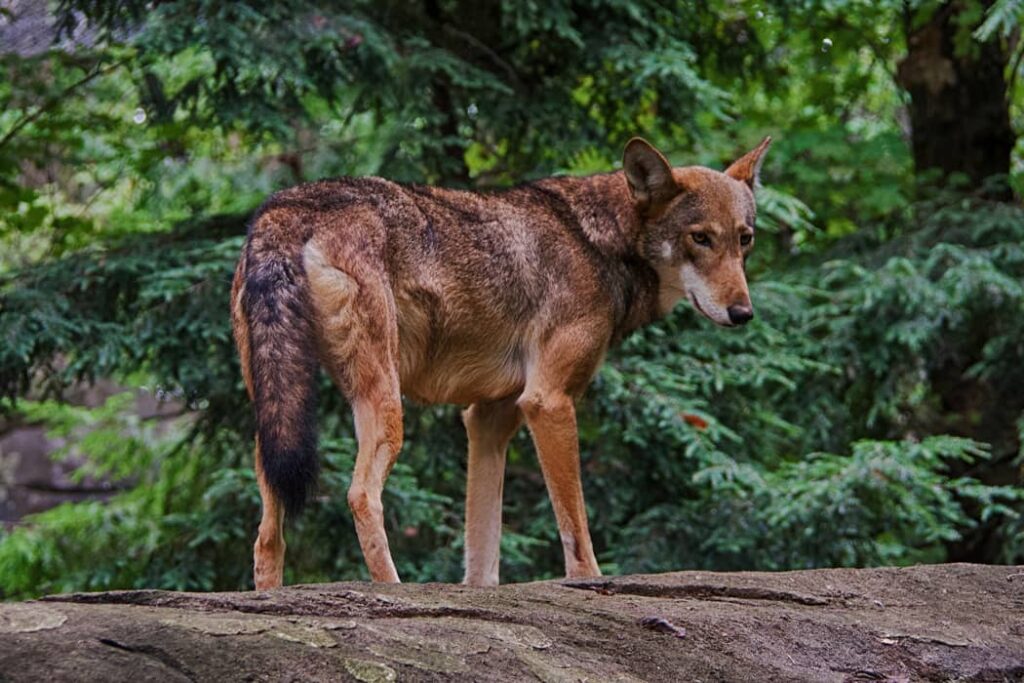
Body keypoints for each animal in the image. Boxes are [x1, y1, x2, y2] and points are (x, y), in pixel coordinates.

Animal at [231, 136, 771, 589]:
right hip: (383, 407)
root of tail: (287, 207)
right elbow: (577, 535)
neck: (598, 241)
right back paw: (393, 590)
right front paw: (591, 584)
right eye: (700, 238)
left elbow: (483, 553)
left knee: (266, 536)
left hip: (277, 420)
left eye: (744, 238)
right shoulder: (547, 402)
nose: (743, 313)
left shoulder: (489, 418)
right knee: (361, 495)